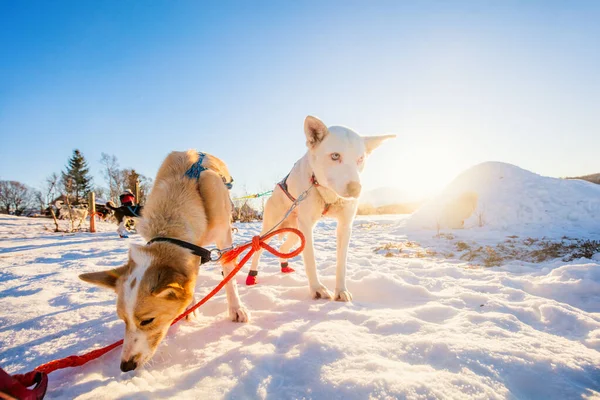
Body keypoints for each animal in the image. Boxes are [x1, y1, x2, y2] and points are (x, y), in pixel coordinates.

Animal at [79, 150, 248, 372]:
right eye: (122, 320)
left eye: (147, 320)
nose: (125, 366)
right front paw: (190, 307)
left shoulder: (224, 239)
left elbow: (229, 276)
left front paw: (236, 308)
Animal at [247, 115, 394, 300]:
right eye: (335, 156)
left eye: (360, 159)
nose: (356, 189)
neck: (327, 193)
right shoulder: (307, 227)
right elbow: (310, 260)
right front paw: (317, 288)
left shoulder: (345, 226)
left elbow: (341, 264)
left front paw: (341, 290)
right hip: (272, 228)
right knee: (258, 249)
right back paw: (252, 276)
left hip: (296, 233)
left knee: (283, 248)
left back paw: (285, 267)